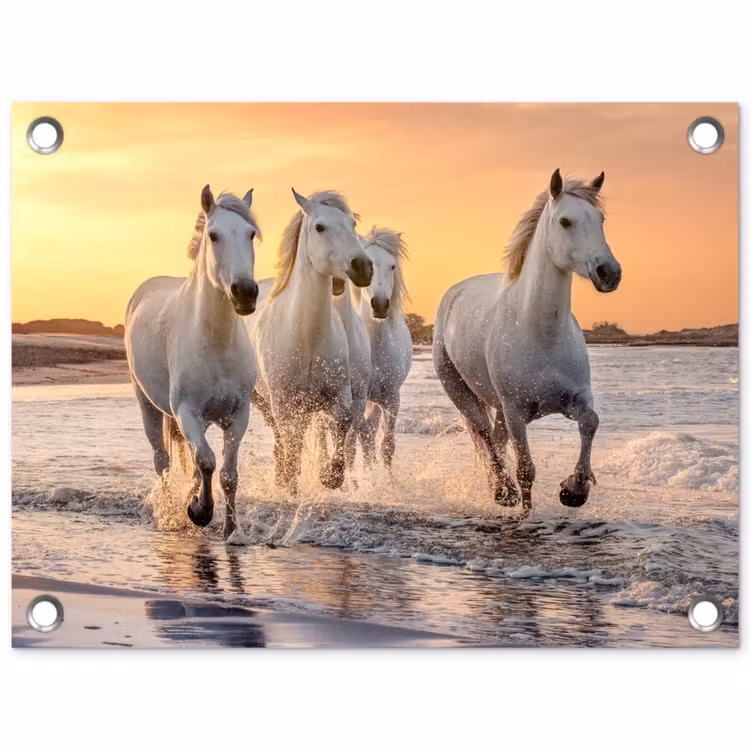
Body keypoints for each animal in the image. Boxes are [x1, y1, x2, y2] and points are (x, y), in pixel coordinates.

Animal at [125, 186, 261, 541]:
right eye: (213, 235)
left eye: (251, 234)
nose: (245, 292)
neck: (216, 342)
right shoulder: (187, 412)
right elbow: (208, 461)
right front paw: (200, 512)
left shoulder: (237, 416)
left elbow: (227, 473)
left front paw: (231, 530)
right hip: (148, 404)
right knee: (162, 461)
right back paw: (171, 512)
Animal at [244, 189, 373, 494]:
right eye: (320, 227)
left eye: (352, 225)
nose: (363, 267)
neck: (308, 339)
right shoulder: (284, 403)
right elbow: (291, 442)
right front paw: (291, 481)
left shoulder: (339, 396)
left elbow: (343, 424)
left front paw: (330, 476)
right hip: (264, 401)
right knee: (282, 439)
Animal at [433, 169, 621, 513]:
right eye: (565, 221)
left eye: (600, 218)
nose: (609, 273)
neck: (541, 335)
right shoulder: (516, 411)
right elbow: (526, 470)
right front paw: (527, 511)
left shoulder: (575, 399)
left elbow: (591, 423)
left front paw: (574, 490)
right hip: (460, 390)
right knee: (484, 434)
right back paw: (503, 491)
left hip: (498, 408)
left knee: (495, 439)